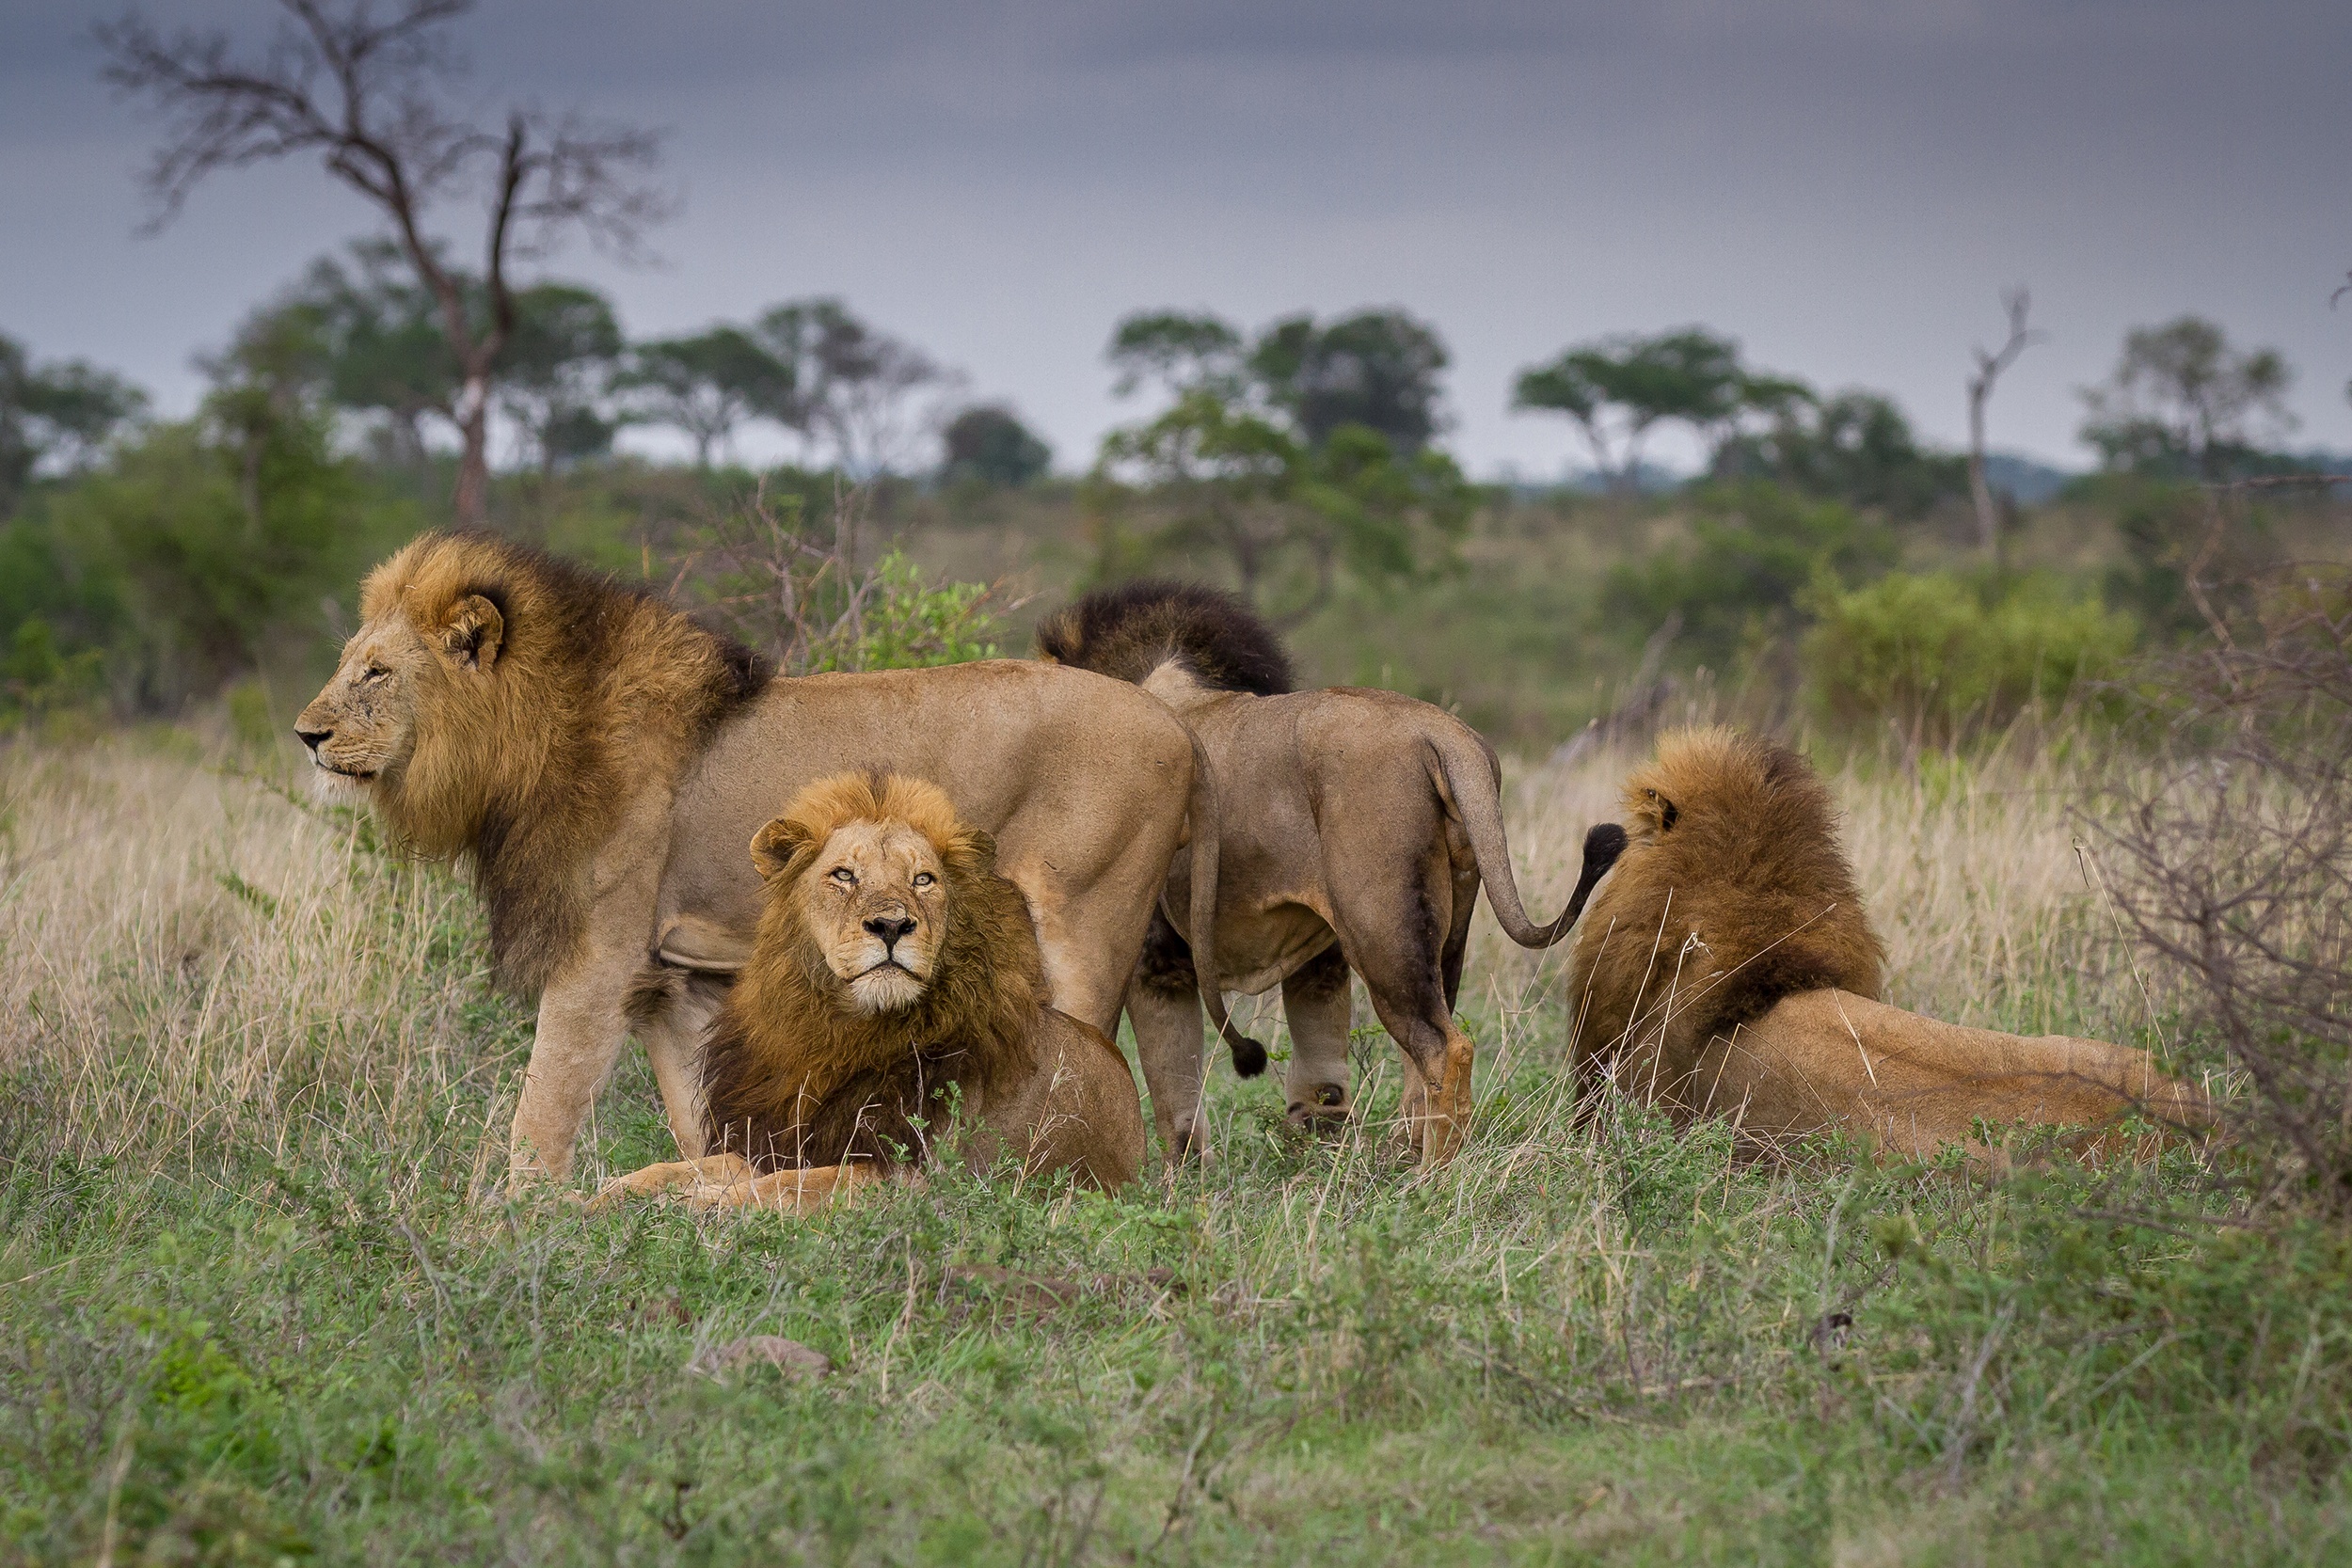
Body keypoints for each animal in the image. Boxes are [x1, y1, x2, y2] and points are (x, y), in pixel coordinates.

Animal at [588, 770, 1138, 1212]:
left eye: (923, 879)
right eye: (843, 875)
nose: (892, 925)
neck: (839, 1032)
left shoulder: (910, 1175)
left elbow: (790, 1186)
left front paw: (701, 1204)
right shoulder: (774, 1137)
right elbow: (679, 1168)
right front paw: (593, 1198)